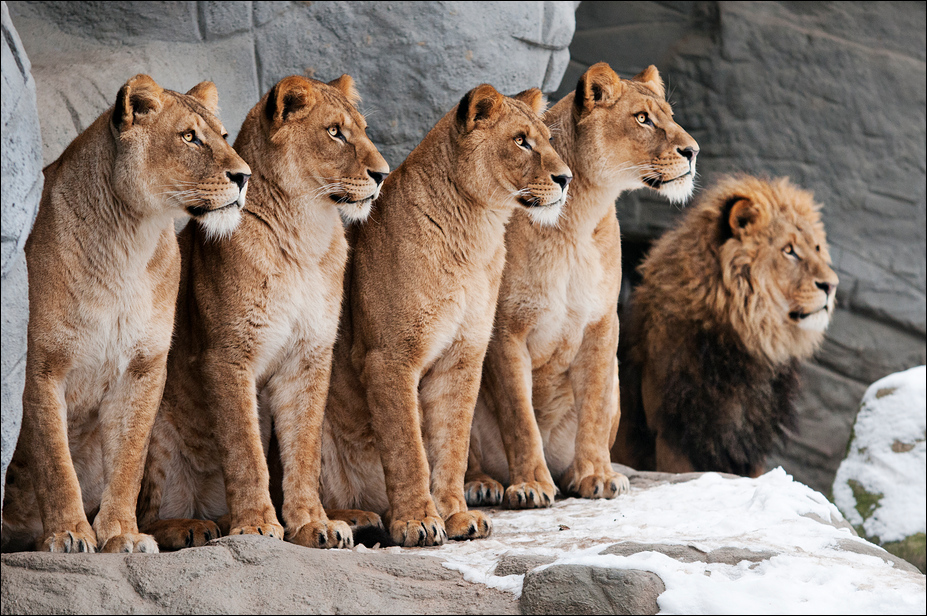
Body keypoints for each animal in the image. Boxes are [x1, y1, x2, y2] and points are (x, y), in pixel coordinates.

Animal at [1, 75, 250, 553]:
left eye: (224, 136)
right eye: (189, 137)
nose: (245, 176)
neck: (130, 242)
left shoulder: (143, 367)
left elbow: (130, 459)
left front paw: (122, 533)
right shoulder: (41, 367)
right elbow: (55, 461)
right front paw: (68, 533)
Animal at [136, 74, 390, 551]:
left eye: (364, 130)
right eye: (335, 132)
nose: (383, 174)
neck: (306, 235)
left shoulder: (308, 358)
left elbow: (303, 450)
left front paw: (314, 523)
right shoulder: (227, 357)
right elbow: (244, 450)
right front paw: (255, 524)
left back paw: (353, 516)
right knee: (143, 511)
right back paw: (191, 525)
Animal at [321, 84, 572, 547]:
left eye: (547, 139)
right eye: (521, 141)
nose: (566, 179)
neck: (475, 232)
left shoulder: (463, 357)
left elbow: (450, 443)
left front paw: (455, 516)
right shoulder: (388, 358)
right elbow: (407, 448)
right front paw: (417, 521)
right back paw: (354, 518)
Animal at [464, 63, 699, 509]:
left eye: (670, 115)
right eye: (642, 118)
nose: (693, 152)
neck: (577, 219)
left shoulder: (602, 323)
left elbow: (593, 406)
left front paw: (596, 475)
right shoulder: (505, 329)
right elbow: (520, 416)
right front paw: (532, 484)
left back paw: (571, 473)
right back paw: (480, 483)